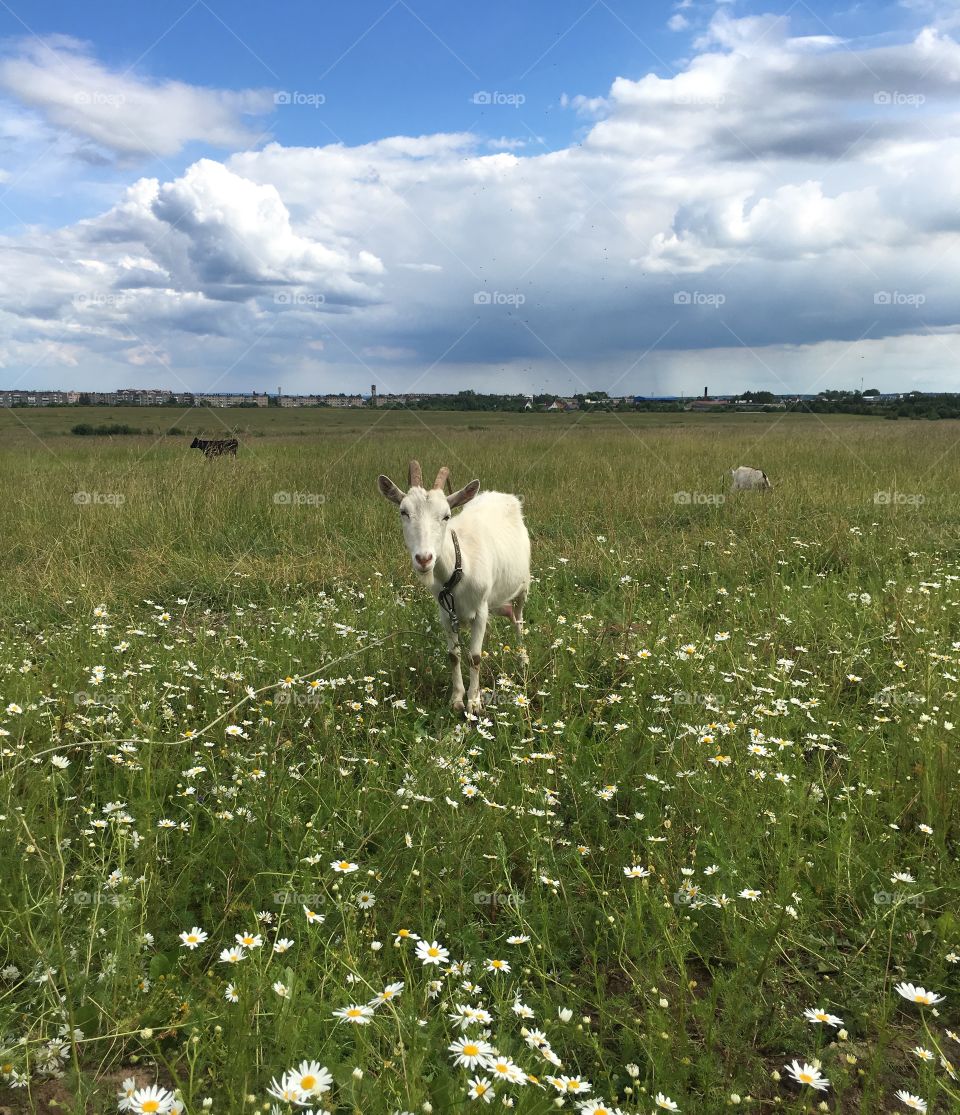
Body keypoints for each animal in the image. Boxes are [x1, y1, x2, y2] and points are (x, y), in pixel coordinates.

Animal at [376, 459, 532, 713]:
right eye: (403, 512)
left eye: (446, 515)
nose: (424, 559)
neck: (459, 567)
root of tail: (503, 496)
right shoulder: (446, 612)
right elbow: (454, 655)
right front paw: (457, 699)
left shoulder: (480, 610)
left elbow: (475, 656)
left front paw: (474, 703)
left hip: (522, 586)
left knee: (518, 619)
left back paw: (523, 659)